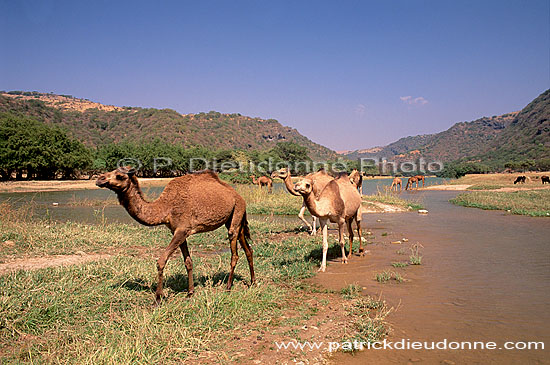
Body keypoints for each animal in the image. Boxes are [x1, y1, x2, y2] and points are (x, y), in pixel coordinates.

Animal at [96, 166, 256, 302]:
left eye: (119, 176)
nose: (99, 179)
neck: (165, 208)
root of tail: (239, 197)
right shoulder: (178, 232)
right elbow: (188, 262)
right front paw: (190, 292)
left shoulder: (182, 230)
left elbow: (161, 261)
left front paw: (158, 298)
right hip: (235, 219)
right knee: (248, 249)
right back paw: (253, 282)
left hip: (236, 213)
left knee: (234, 253)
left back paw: (228, 287)